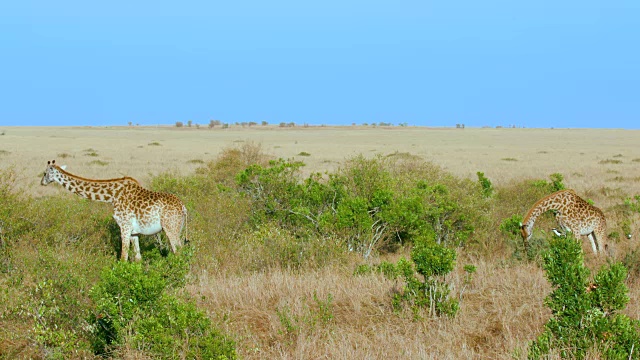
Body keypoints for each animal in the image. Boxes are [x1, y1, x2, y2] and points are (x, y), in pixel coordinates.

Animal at [40, 160, 188, 262]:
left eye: (45, 173)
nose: (42, 182)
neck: (112, 196)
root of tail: (183, 208)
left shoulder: (124, 226)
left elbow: (123, 257)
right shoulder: (134, 232)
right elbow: (137, 258)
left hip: (170, 228)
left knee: (179, 253)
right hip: (177, 228)